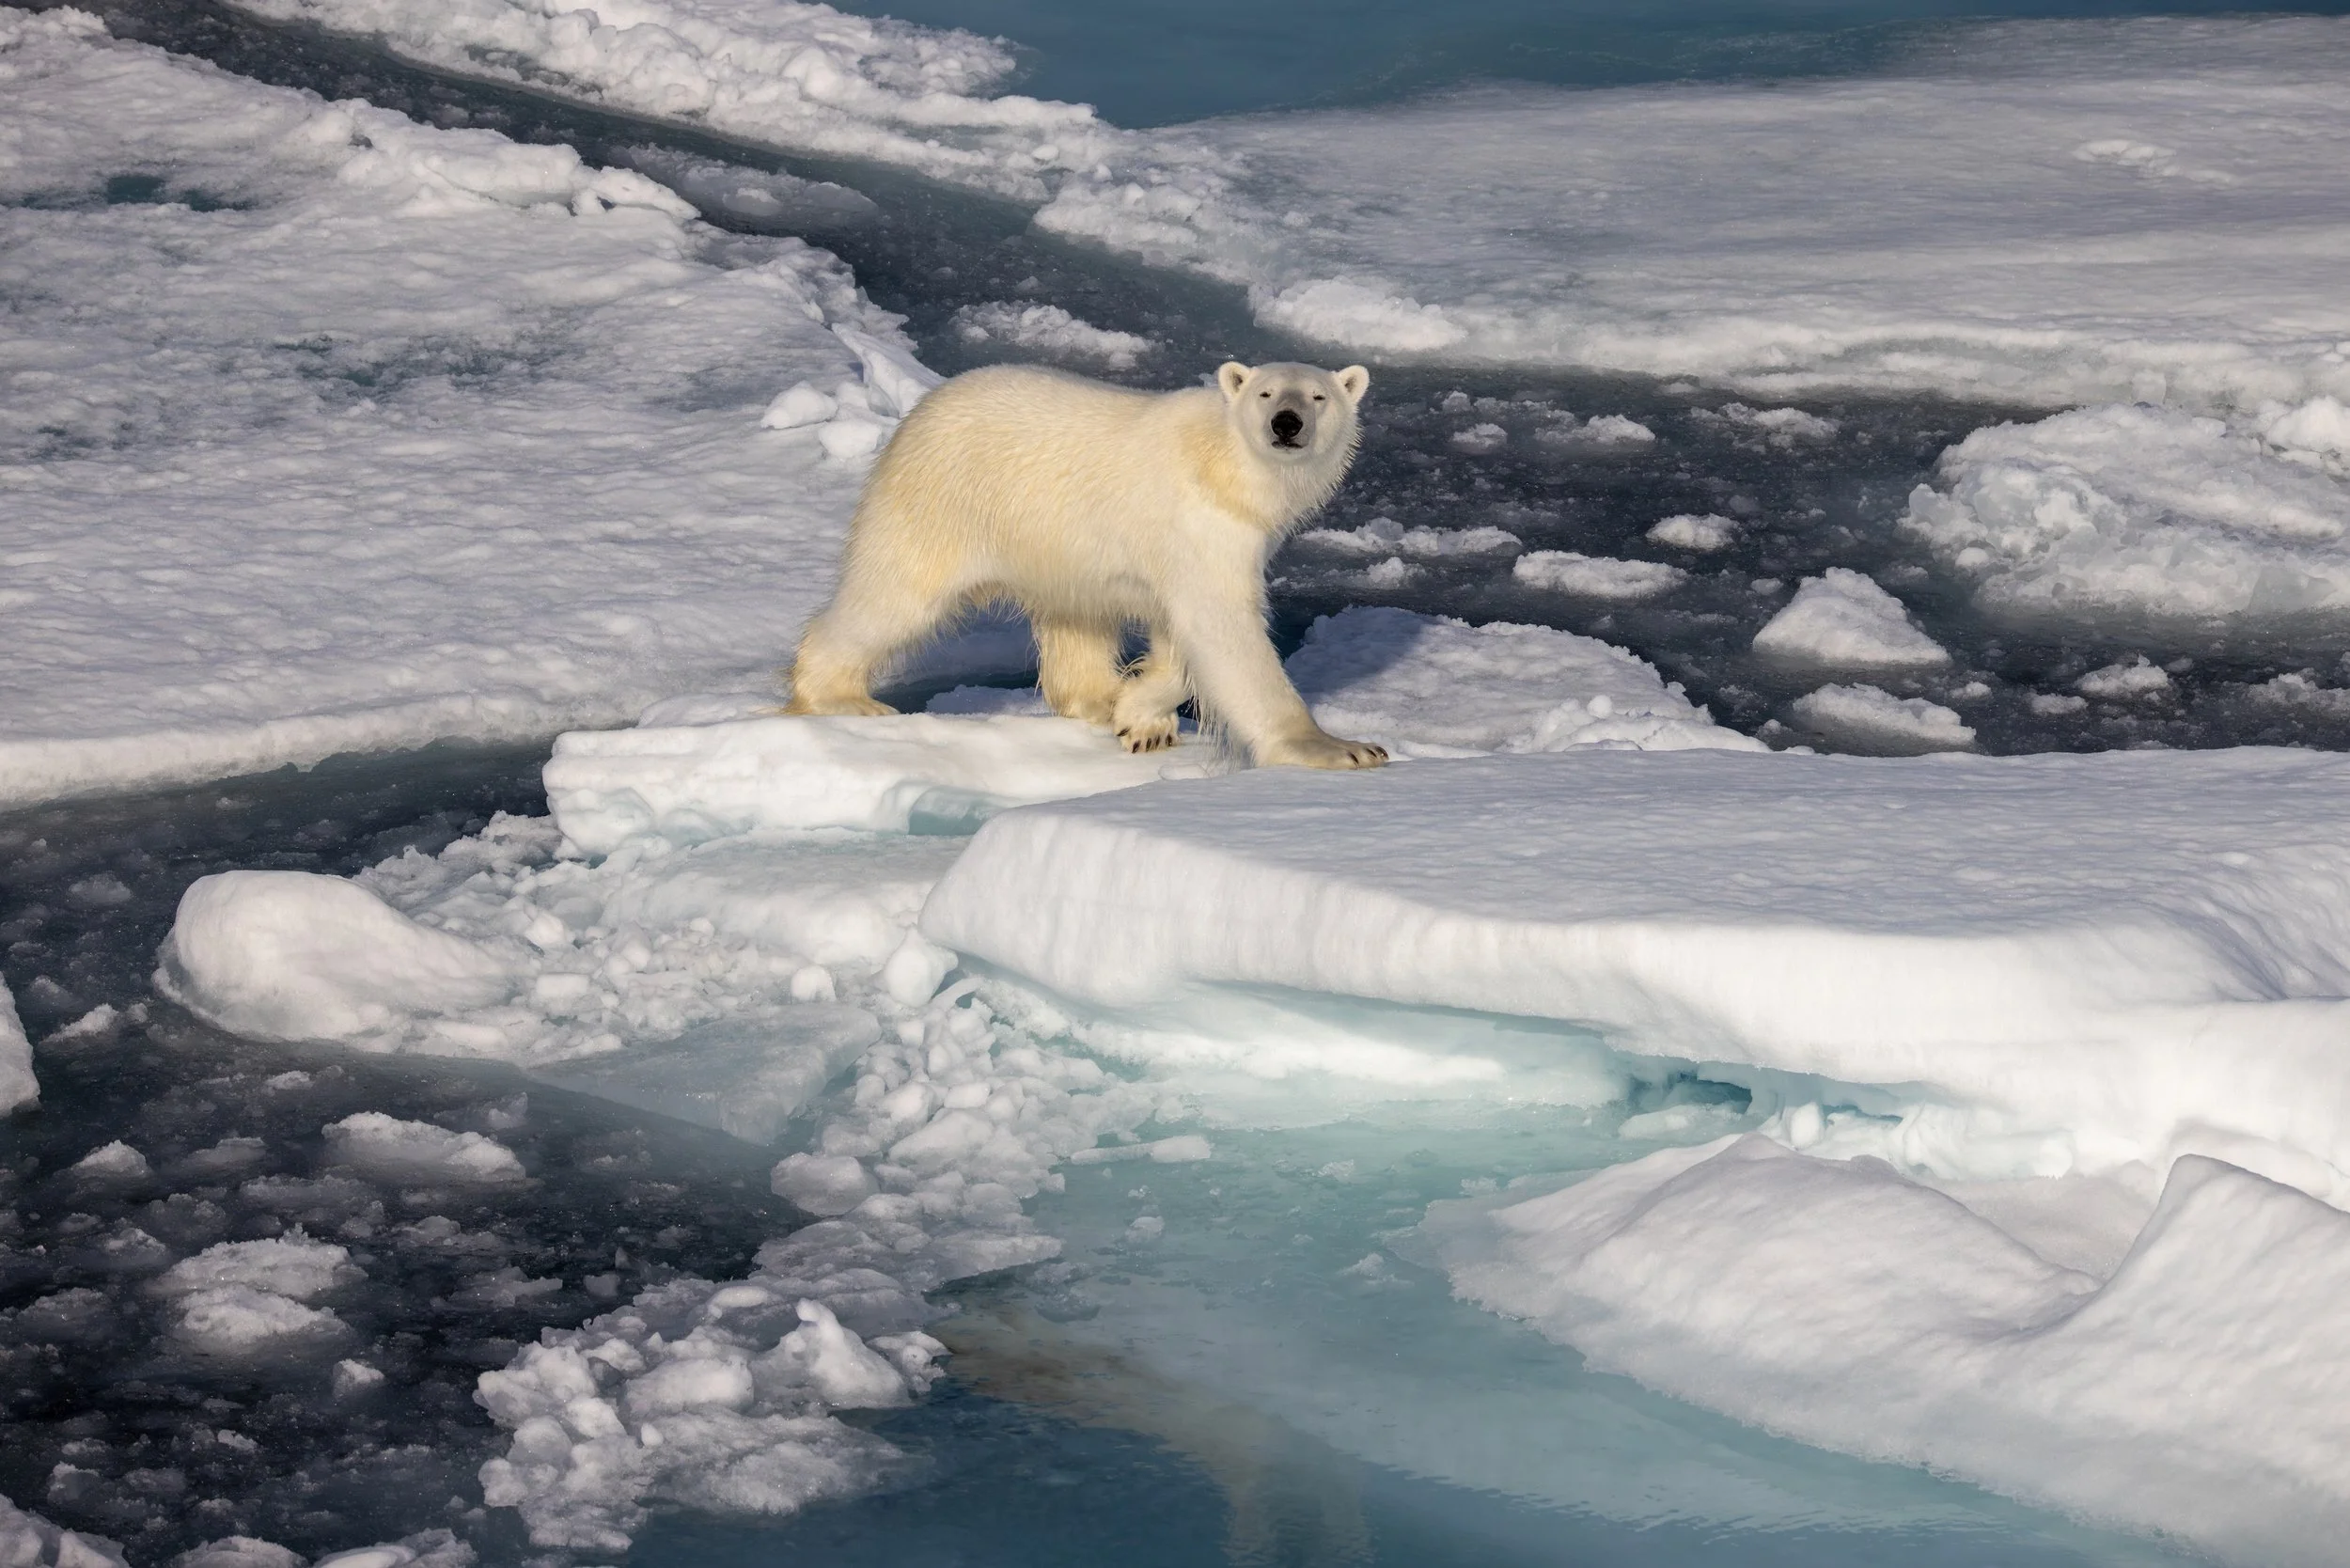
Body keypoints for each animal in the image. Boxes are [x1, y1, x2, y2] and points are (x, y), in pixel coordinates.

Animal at [783, 359, 1390, 770]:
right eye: (1266, 392)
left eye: (1318, 396)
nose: (1286, 422)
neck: (1226, 467)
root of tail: (919, 413)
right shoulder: (1199, 524)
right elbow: (1222, 627)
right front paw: (1344, 749)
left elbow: (1179, 634)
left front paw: (1141, 718)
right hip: (940, 507)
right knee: (893, 596)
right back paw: (843, 698)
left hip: (1053, 551)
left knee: (1078, 619)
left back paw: (1096, 699)